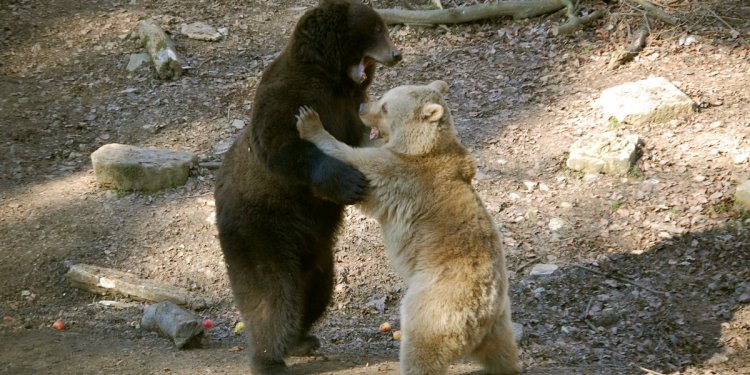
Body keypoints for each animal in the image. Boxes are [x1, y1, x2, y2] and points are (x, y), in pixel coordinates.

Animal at [214, 1, 402, 374]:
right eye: (376, 28)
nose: (396, 53)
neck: (335, 80)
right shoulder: (290, 96)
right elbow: (285, 147)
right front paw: (349, 182)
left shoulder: (350, 106)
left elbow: (358, 140)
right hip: (260, 228)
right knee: (272, 294)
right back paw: (269, 358)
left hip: (313, 247)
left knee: (315, 288)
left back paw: (302, 338)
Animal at [294, 81, 524, 374]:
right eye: (382, 97)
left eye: (385, 107)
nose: (362, 107)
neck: (423, 148)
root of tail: (482, 310)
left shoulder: (402, 176)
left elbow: (357, 162)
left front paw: (309, 121)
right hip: (500, 322)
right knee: (503, 352)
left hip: (435, 304)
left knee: (421, 347)